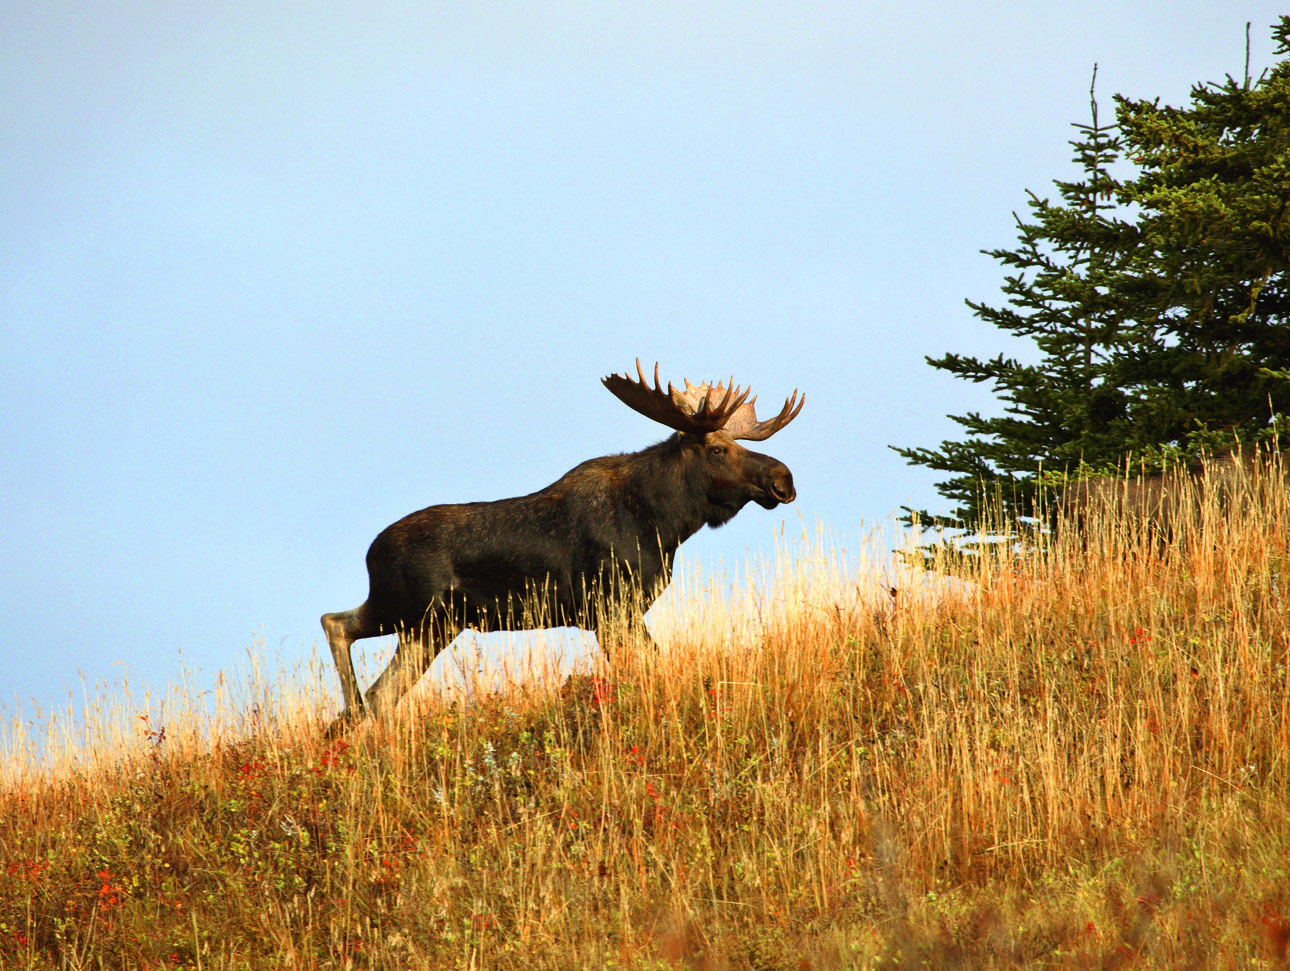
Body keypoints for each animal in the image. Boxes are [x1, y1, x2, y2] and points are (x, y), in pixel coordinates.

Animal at [321, 361, 799, 727]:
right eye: (717, 450)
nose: (783, 478)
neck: (663, 524)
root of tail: (371, 551)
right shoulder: (609, 605)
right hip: (406, 607)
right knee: (336, 624)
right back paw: (350, 713)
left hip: (432, 627)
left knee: (382, 692)